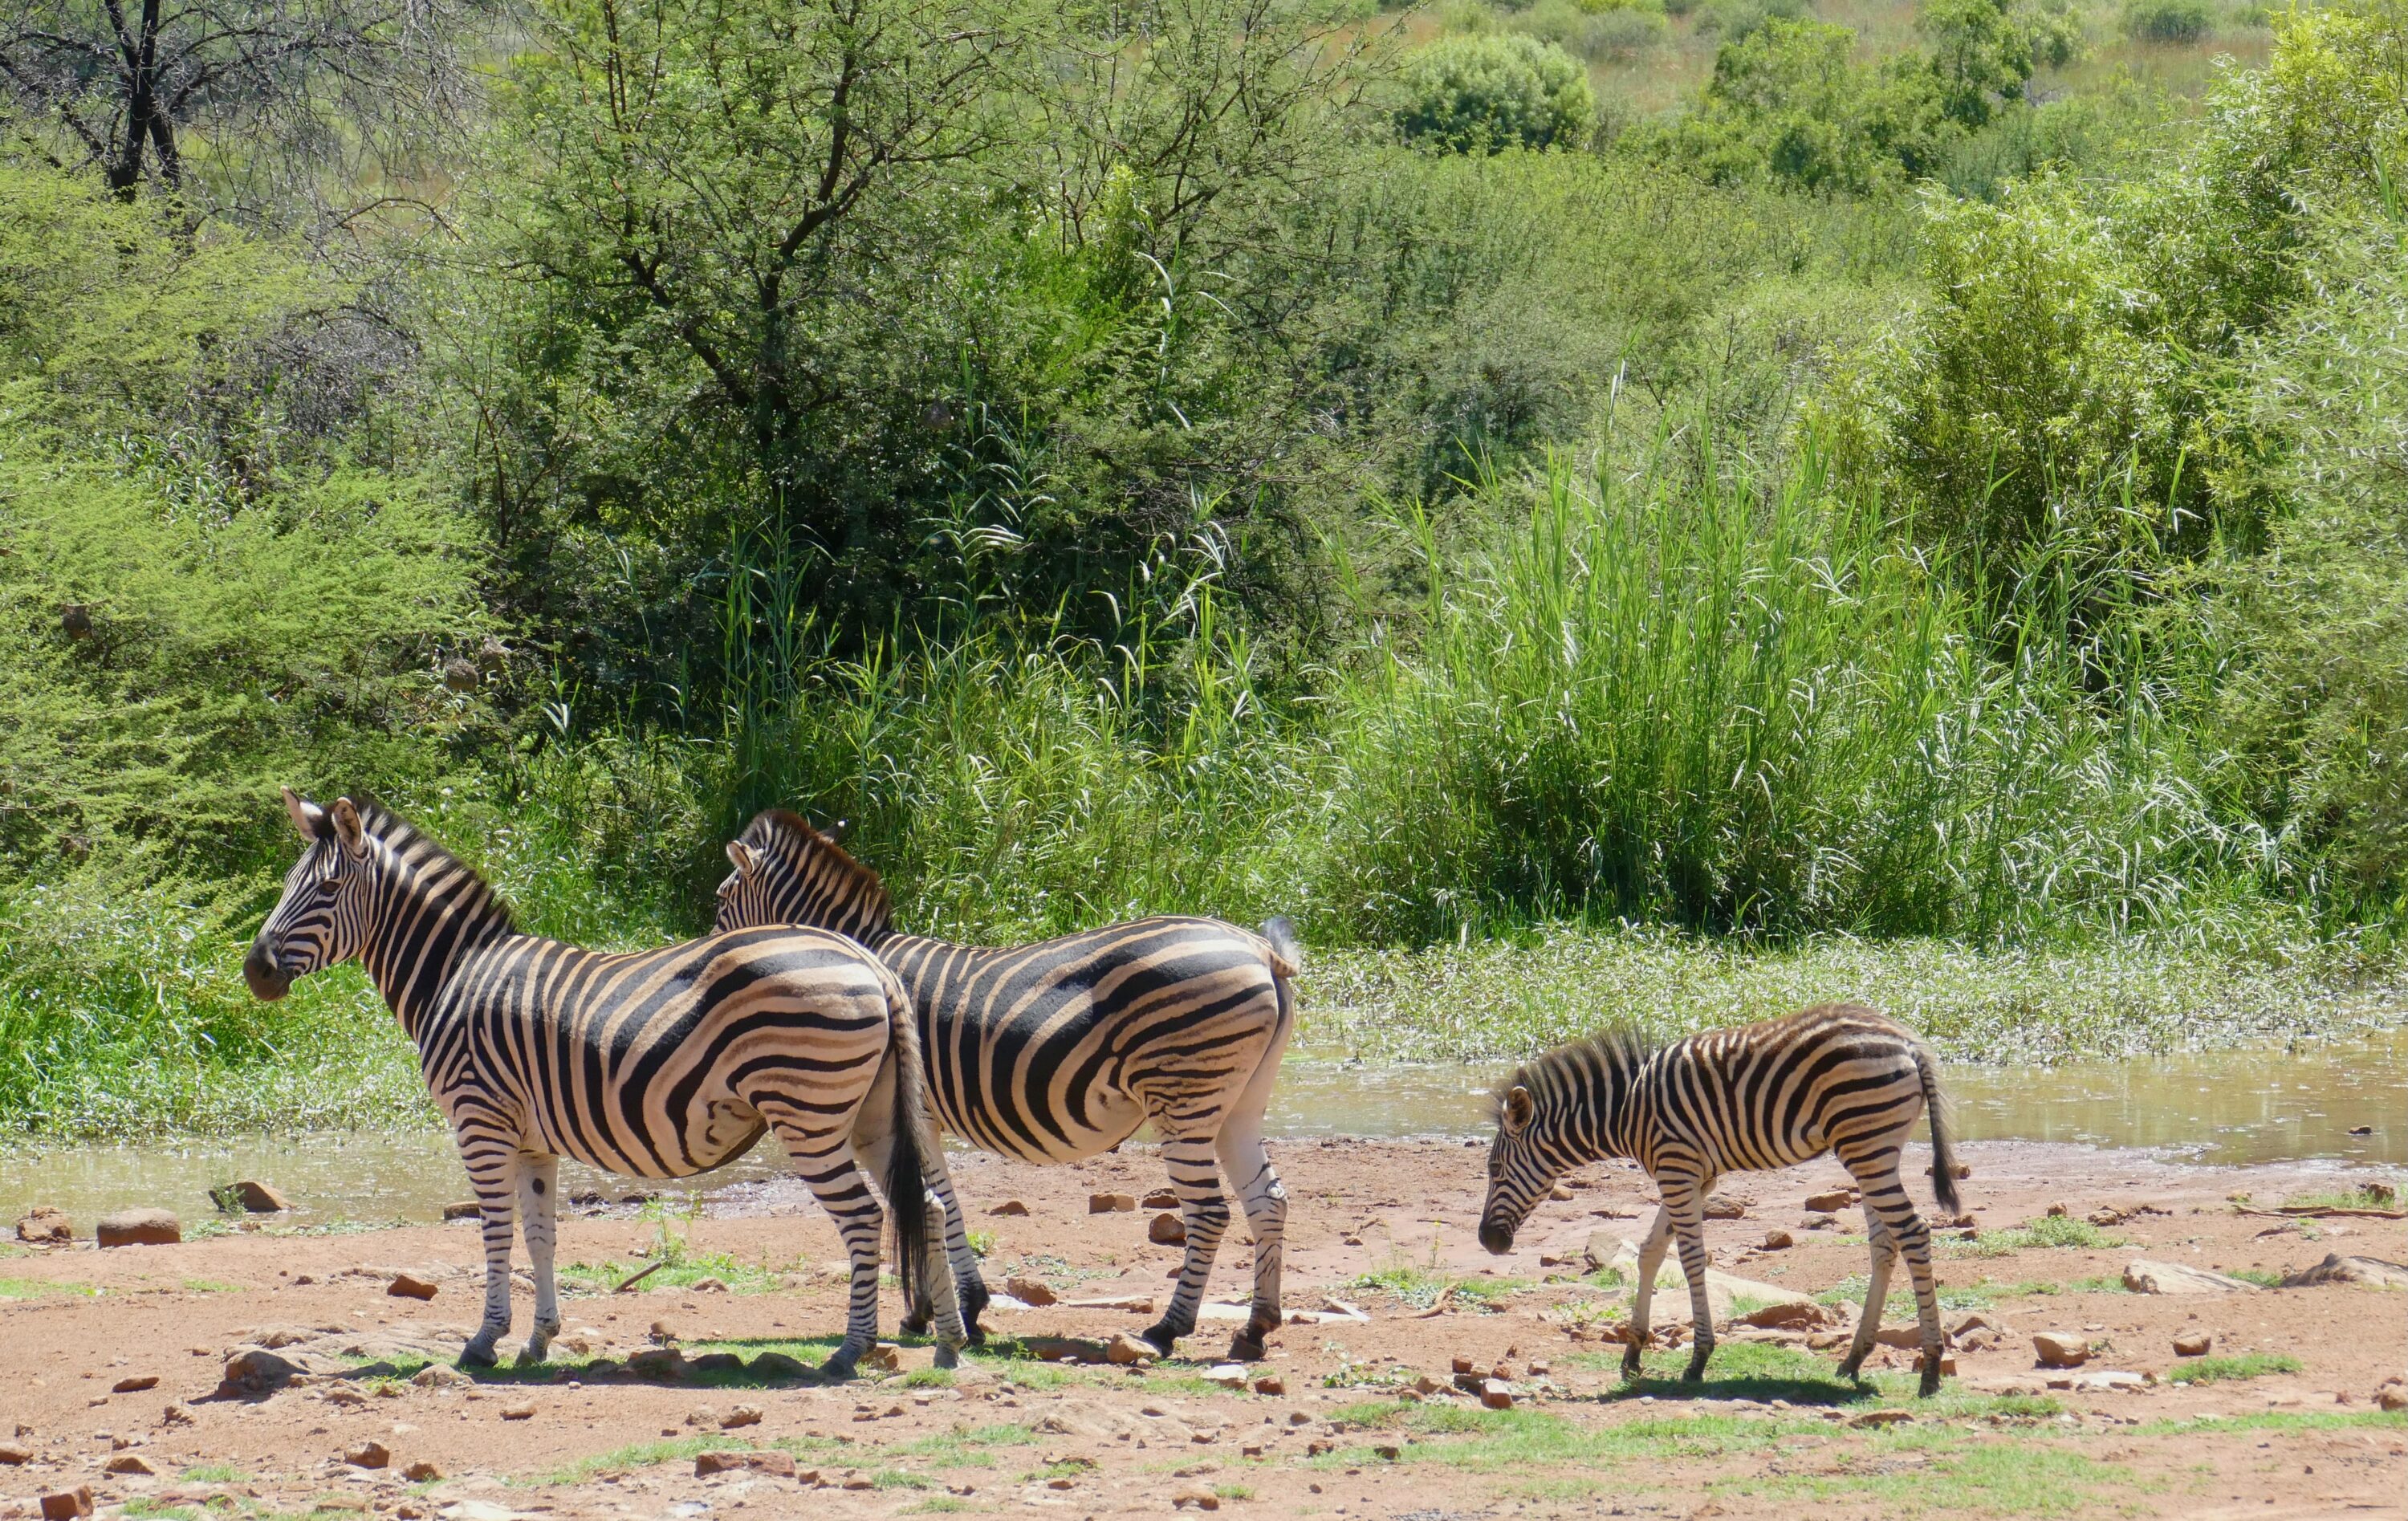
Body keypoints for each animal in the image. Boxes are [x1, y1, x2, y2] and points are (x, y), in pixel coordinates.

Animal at [241, 790, 964, 1376]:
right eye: (287, 883)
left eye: (328, 889)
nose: (255, 970)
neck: (453, 974)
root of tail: (868, 959)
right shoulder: (532, 1139)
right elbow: (542, 1234)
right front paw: (539, 1339)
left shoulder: (480, 1120)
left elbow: (496, 1232)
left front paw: (484, 1340)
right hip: (871, 1113)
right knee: (926, 1204)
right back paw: (950, 1342)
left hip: (809, 1114)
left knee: (866, 1215)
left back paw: (852, 1349)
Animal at [714, 809, 1301, 1361]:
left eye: (721, 903)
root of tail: (1261, 952)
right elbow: (934, 1200)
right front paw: (958, 1308)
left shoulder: (911, 1111)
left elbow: (925, 1201)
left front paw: (938, 1311)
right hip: (1238, 1104)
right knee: (1268, 1201)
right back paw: (1257, 1326)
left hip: (1183, 1095)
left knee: (1210, 1213)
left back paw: (1167, 1328)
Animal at [1478, 1004, 1960, 1396]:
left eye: (1495, 1170)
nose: (1487, 1242)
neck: (1626, 1110)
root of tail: (1908, 1043)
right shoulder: (1697, 1176)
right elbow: (1651, 1251)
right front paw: (1633, 1352)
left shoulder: (1677, 1168)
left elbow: (1691, 1258)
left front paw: (1698, 1359)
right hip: (1875, 1150)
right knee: (1885, 1244)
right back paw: (1854, 1358)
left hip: (1865, 1142)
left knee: (1914, 1234)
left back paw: (1931, 1369)